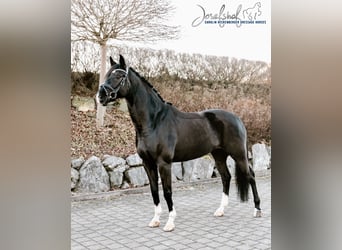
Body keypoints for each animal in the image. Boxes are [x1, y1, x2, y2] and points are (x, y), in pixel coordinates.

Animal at [97, 54, 260, 232]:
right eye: (107, 74)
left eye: (119, 76)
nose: (100, 96)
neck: (154, 121)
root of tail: (237, 118)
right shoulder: (147, 163)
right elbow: (154, 190)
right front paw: (155, 220)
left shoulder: (164, 163)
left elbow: (167, 191)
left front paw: (170, 222)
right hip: (219, 154)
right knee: (226, 177)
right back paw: (220, 210)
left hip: (238, 154)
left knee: (250, 175)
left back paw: (257, 210)